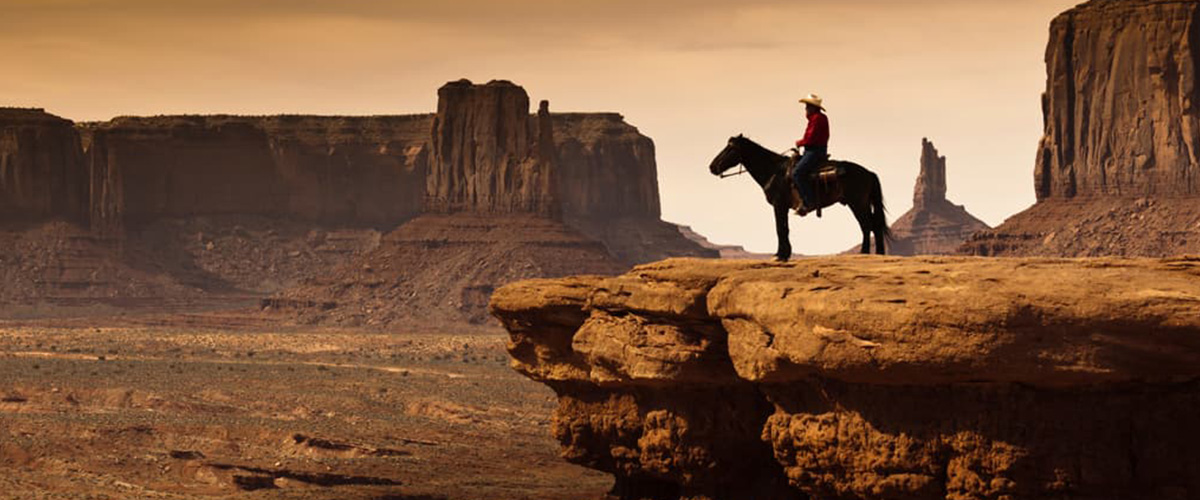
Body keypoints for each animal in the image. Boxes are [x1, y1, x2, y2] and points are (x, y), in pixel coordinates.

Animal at [705, 134, 888, 258]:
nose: (712, 167)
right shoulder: (784, 207)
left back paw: (865, 253)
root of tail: (868, 173)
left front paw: (779, 255)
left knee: (867, 225)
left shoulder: (778, 205)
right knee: (873, 225)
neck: (774, 171)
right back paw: (878, 253)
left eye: (730, 148)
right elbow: (785, 229)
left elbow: (780, 228)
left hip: (857, 203)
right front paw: (784, 253)